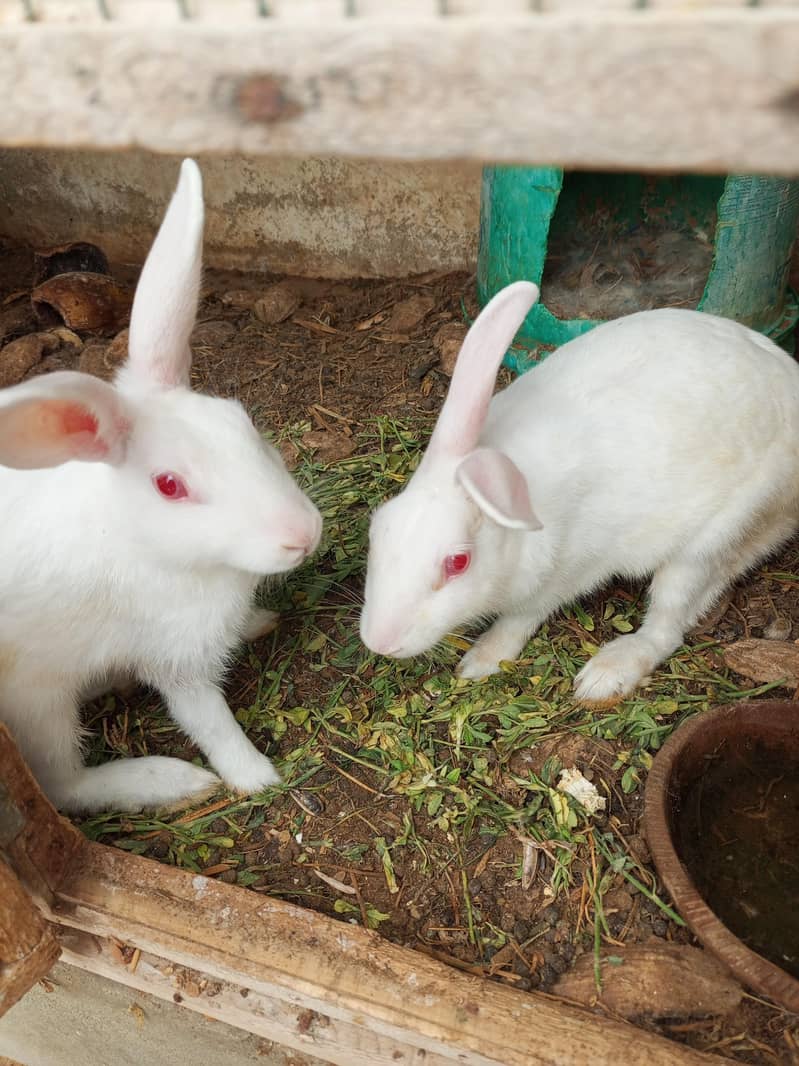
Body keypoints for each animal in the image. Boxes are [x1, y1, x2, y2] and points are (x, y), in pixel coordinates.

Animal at [0, 159, 322, 814]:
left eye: (241, 420)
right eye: (169, 485)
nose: (304, 536)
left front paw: (259, 621)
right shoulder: (177, 659)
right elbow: (209, 720)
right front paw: (257, 777)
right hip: (38, 702)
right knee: (64, 785)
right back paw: (172, 780)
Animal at [360, 281, 799, 705]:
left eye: (458, 562)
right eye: (376, 530)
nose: (379, 642)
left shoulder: (566, 574)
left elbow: (520, 617)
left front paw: (481, 660)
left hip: (709, 541)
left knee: (668, 624)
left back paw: (605, 675)